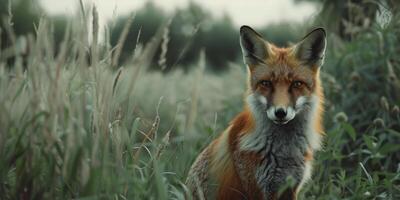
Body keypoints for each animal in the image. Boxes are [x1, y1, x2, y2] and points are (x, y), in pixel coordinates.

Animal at [186, 25, 326, 200]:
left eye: (296, 84)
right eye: (266, 83)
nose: (280, 112)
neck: (284, 152)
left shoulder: (291, 187)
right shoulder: (255, 187)